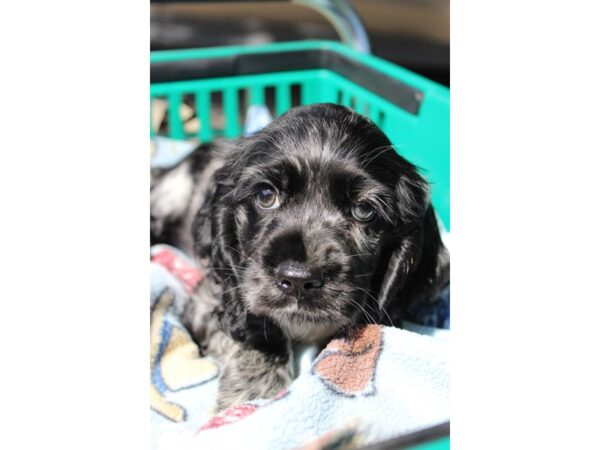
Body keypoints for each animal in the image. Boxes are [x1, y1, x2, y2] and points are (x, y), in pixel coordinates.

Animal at [152, 103, 448, 412]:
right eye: (266, 194)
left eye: (364, 209)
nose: (297, 279)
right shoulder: (212, 299)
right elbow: (261, 324)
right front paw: (252, 391)